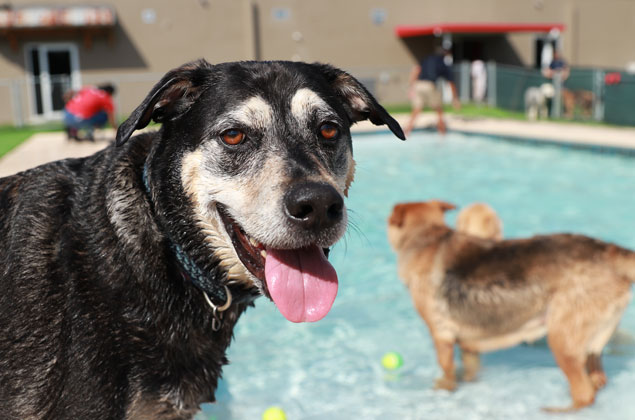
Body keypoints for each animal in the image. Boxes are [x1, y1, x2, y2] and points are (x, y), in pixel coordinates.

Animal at [388, 200, 635, 410]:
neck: (426, 238)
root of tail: (608, 251)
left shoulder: (442, 338)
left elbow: (446, 374)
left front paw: (442, 392)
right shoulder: (468, 346)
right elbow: (469, 371)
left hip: (561, 341)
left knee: (584, 394)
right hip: (592, 346)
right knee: (596, 382)